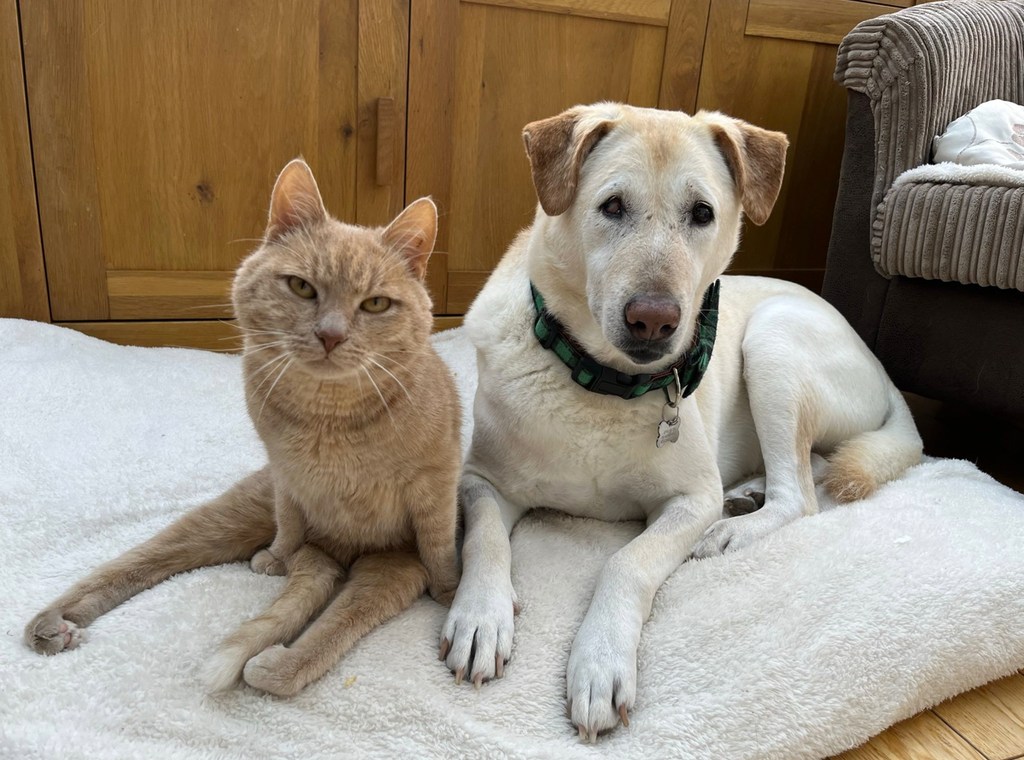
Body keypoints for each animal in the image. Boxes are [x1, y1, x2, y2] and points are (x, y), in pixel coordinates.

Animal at [22, 157, 462, 700]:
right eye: (302, 287)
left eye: (375, 304)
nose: (331, 335)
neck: (329, 415)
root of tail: (336, 551)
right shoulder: (285, 478)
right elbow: (290, 523)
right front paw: (277, 557)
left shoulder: (435, 485)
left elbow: (439, 544)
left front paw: (451, 592)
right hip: (230, 516)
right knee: (139, 562)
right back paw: (54, 622)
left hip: (389, 571)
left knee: (336, 624)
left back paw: (276, 662)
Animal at [436, 103, 925, 741]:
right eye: (612, 206)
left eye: (702, 214)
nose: (654, 319)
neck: (602, 381)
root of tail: (882, 368)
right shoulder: (483, 482)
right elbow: (485, 539)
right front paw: (481, 616)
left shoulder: (690, 500)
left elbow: (627, 561)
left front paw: (600, 662)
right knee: (810, 467)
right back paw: (747, 495)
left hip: (774, 340)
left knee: (800, 494)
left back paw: (732, 527)